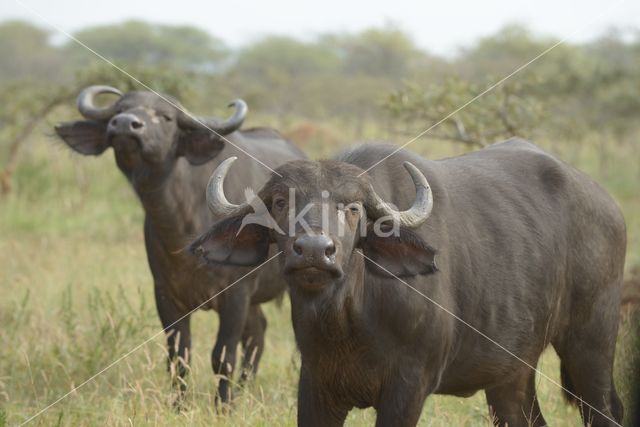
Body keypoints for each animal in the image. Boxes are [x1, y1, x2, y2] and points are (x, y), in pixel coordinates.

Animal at [55, 86, 304, 404]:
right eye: (119, 110)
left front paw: (222, 406)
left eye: (166, 117)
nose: (124, 125)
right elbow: (178, 357)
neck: (183, 227)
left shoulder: (236, 295)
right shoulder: (166, 296)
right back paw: (242, 391)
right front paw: (180, 405)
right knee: (258, 332)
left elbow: (223, 356)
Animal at [189, 139, 624, 426]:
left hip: (591, 346)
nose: (314, 250)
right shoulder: (316, 385)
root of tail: (609, 207)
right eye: (281, 202)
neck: (348, 319)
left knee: (604, 410)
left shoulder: (409, 387)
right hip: (512, 373)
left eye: (352, 209)